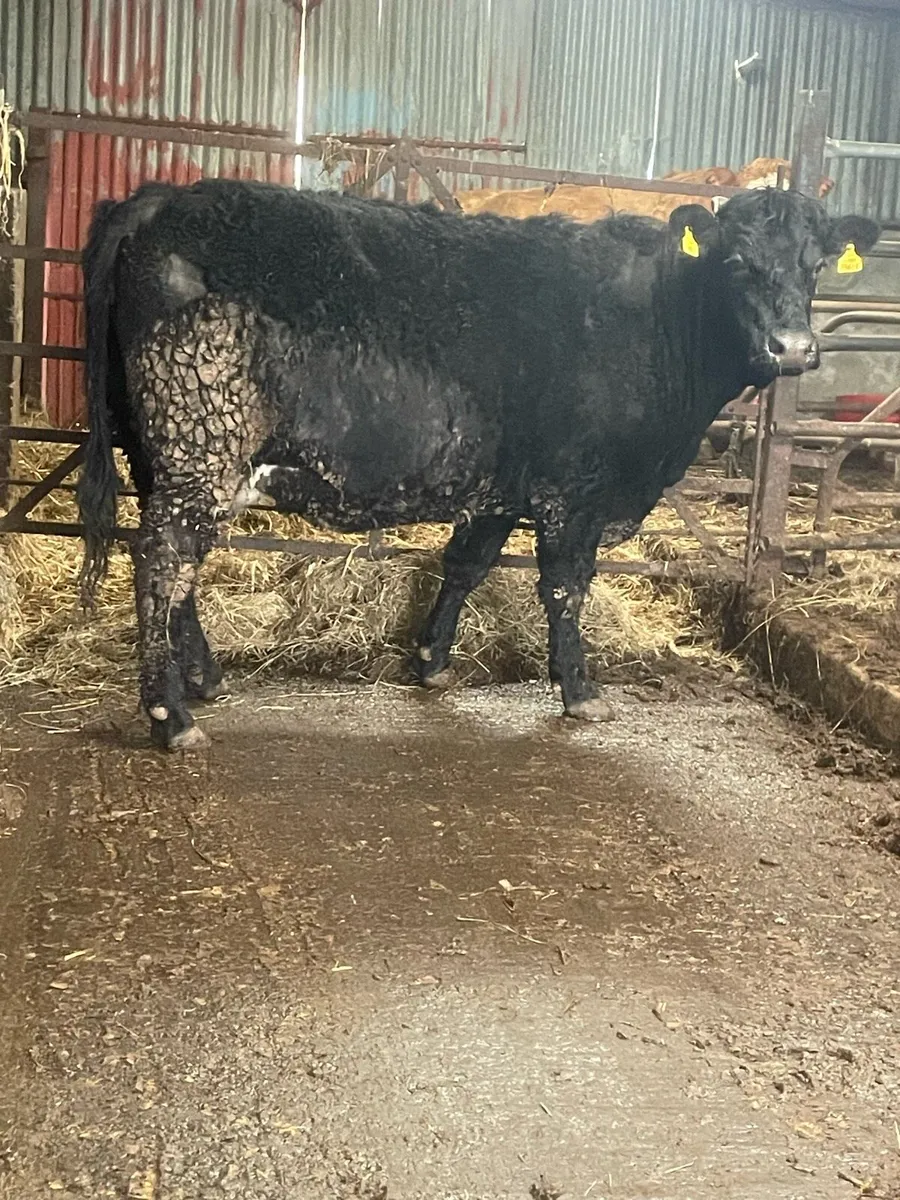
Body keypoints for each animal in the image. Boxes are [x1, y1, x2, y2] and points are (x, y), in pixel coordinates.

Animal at [76, 179, 879, 750]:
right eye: (737, 262)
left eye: (815, 265)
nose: (793, 348)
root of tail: (161, 197)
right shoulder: (573, 490)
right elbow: (564, 587)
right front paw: (579, 690)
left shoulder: (503, 484)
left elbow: (467, 562)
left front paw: (431, 662)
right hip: (201, 436)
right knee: (163, 558)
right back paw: (171, 716)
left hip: (160, 449)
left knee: (174, 563)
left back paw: (202, 678)